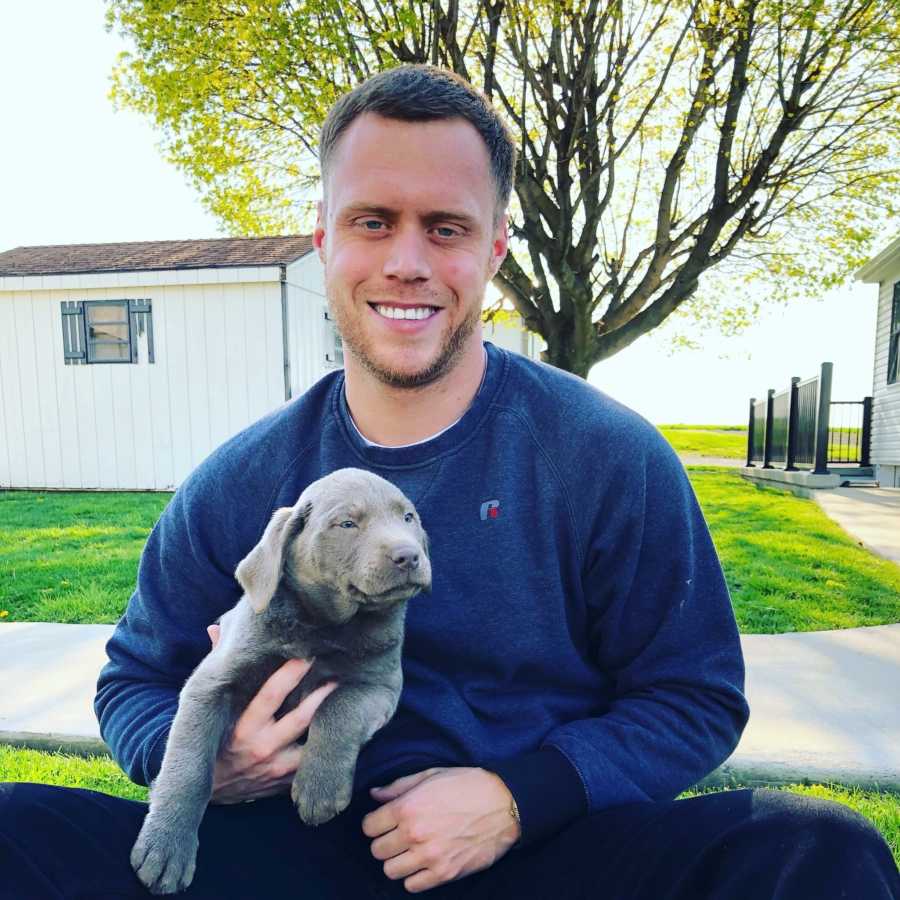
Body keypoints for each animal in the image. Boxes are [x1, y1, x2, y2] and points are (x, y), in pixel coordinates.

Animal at [129, 468, 432, 896]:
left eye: (408, 517)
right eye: (347, 524)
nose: (409, 556)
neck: (324, 626)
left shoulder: (380, 687)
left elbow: (338, 707)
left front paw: (319, 787)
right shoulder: (210, 683)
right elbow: (188, 764)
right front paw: (165, 846)